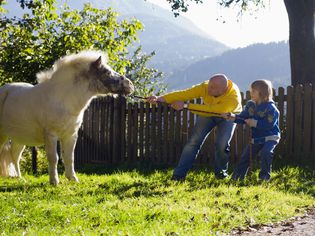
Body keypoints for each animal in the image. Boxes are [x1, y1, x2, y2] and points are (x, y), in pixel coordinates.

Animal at [0, 50, 135, 185]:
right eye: (107, 72)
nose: (130, 85)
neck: (62, 99)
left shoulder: (71, 135)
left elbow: (69, 157)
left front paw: (72, 178)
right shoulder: (51, 135)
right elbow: (54, 158)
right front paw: (54, 181)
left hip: (19, 138)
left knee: (15, 155)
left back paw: (20, 178)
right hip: (4, 136)